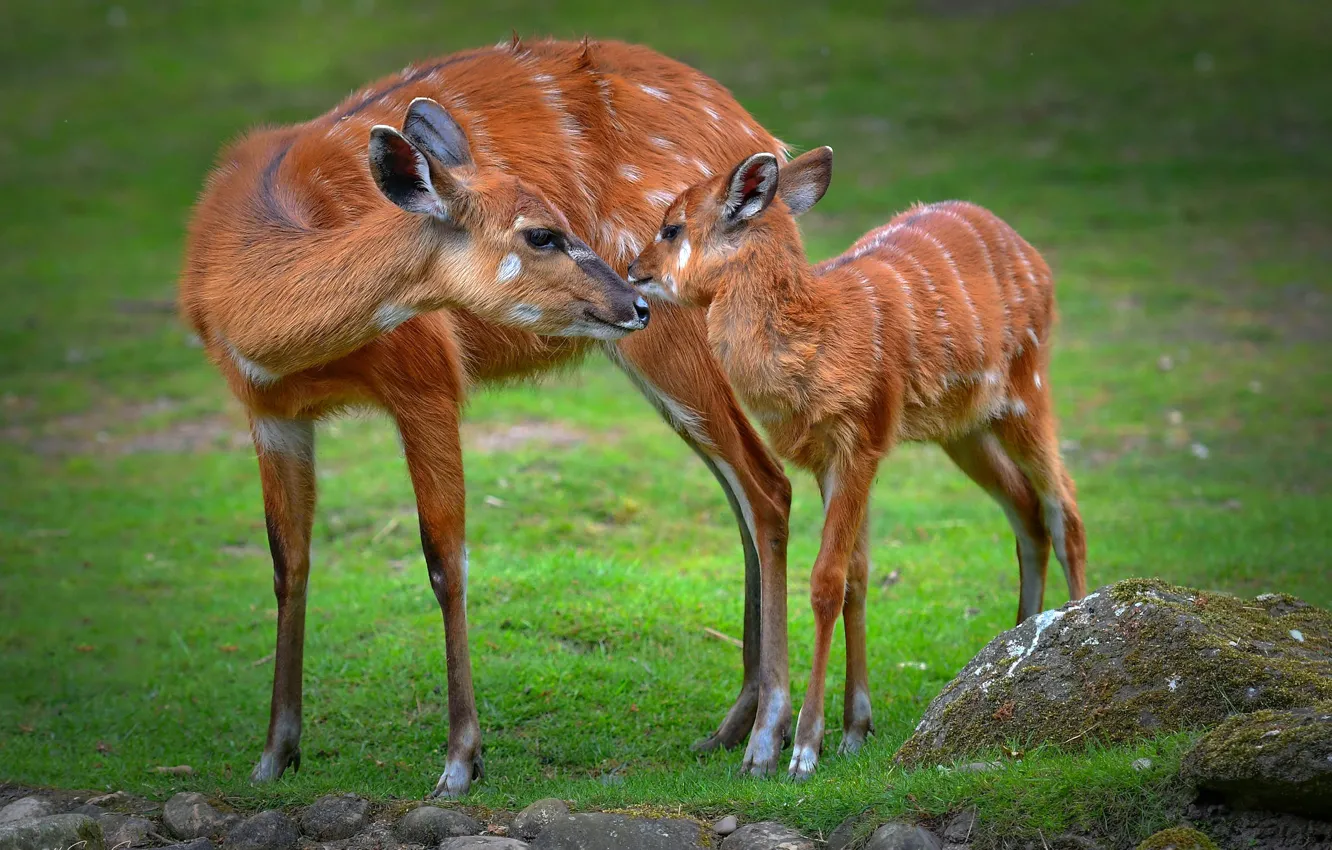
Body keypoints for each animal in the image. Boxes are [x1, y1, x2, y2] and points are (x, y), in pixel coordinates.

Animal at [182, 38, 793, 799]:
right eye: (542, 234)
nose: (632, 296)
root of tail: (765, 140)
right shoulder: (269, 410)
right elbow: (287, 560)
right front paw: (273, 755)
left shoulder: (426, 380)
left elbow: (446, 557)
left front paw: (459, 762)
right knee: (745, 492)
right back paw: (734, 725)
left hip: (679, 337)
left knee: (767, 486)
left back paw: (767, 737)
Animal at [628, 149, 1086, 783]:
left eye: (672, 227)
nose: (632, 269)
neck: (818, 340)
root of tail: (1033, 256)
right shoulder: (832, 458)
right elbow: (859, 577)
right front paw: (854, 730)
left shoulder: (861, 442)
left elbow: (827, 581)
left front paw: (804, 750)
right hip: (964, 428)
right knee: (1027, 512)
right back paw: (1014, 647)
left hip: (1027, 389)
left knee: (1065, 508)